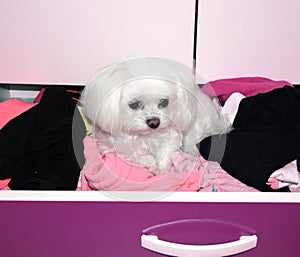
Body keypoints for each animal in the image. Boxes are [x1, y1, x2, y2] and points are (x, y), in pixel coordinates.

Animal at [80, 57, 230, 175]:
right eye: (134, 104)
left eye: (164, 102)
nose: (154, 122)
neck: (146, 136)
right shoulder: (117, 146)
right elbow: (139, 156)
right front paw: (152, 164)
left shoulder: (171, 135)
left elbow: (166, 151)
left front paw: (162, 168)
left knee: (192, 139)